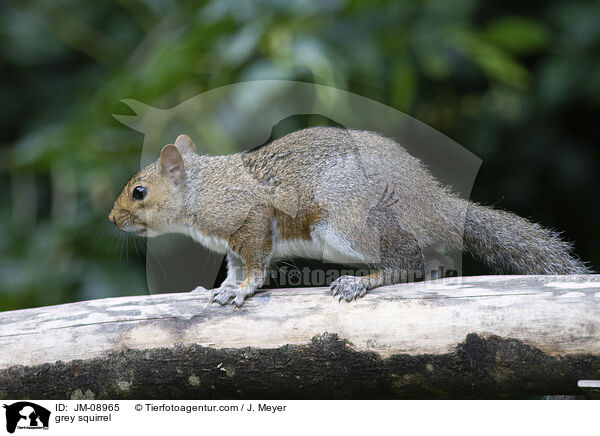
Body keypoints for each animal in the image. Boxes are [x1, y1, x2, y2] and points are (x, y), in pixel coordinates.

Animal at [109, 125, 592, 306]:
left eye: (139, 192)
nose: (113, 220)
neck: (203, 190)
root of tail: (432, 203)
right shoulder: (232, 242)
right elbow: (234, 267)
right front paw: (216, 288)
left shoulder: (251, 219)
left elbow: (256, 268)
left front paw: (241, 291)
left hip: (347, 222)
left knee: (406, 262)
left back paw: (362, 282)